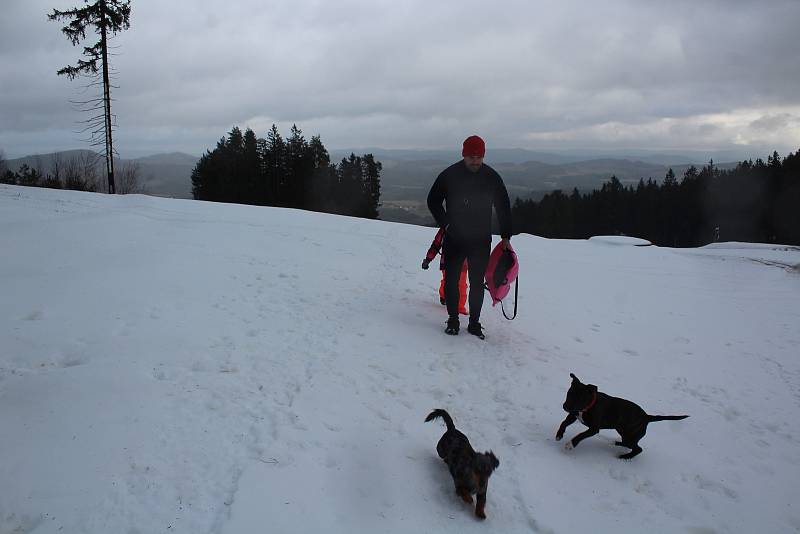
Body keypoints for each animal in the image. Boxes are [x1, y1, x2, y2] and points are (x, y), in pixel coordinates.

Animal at [556, 372, 688, 460]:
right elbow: (563, 423)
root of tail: (647, 417)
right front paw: (559, 434)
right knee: (629, 444)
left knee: (638, 449)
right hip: (624, 432)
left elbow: (581, 435)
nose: (565, 407)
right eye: (569, 393)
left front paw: (571, 444)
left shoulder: (594, 429)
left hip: (631, 435)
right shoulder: (573, 415)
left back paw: (625, 457)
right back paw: (616, 443)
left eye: (580, 398)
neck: (588, 406)